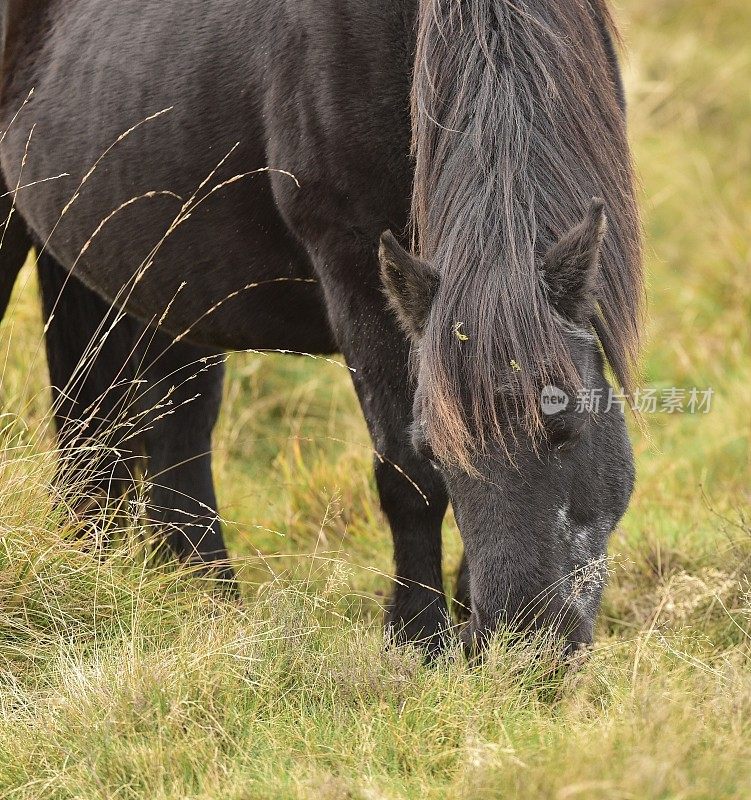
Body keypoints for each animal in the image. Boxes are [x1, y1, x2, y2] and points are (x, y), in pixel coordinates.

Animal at [0, 0, 640, 656]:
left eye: (565, 428)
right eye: (435, 448)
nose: (523, 647)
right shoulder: (356, 269)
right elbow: (406, 476)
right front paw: (418, 637)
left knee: (156, 433)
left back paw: (200, 601)